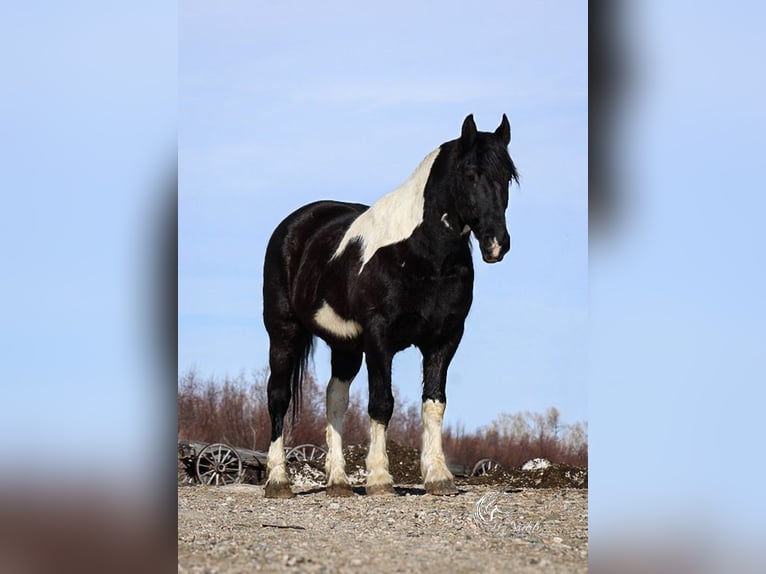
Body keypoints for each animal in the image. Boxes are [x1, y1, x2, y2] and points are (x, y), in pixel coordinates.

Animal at [260, 113, 520, 500]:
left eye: (508, 177)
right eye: (471, 174)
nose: (496, 244)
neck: (420, 254)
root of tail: (296, 224)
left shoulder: (444, 339)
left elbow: (434, 404)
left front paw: (438, 477)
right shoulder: (379, 339)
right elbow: (382, 403)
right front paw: (380, 479)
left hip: (345, 347)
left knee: (335, 400)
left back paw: (339, 482)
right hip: (284, 333)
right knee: (278, 396)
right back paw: (278, 481)